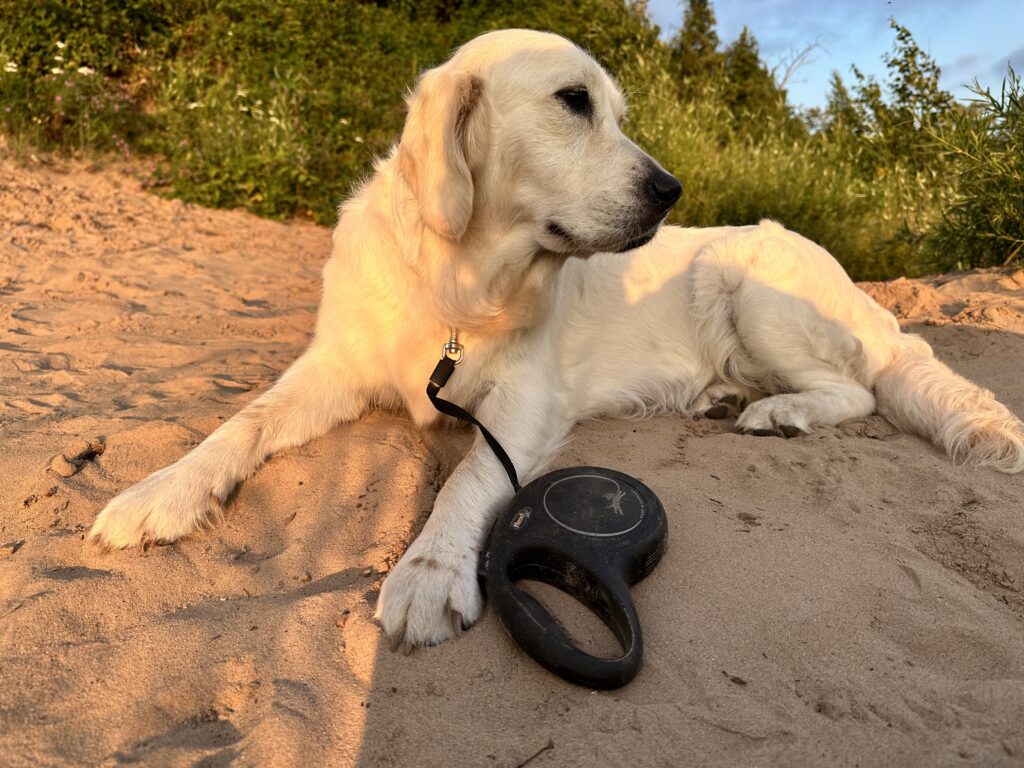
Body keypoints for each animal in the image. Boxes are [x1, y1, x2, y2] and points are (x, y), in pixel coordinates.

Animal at [89, 29, 1024, 649]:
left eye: (615, 111)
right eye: (573, 103)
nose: (670, 189)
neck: (460, 275)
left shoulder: (525, 398)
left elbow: (469, 477)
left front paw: (430, 573)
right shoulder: (336, 363)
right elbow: (242, 423)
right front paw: (158, 493)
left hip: (753, 282)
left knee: (859, 387)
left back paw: (777, 413)